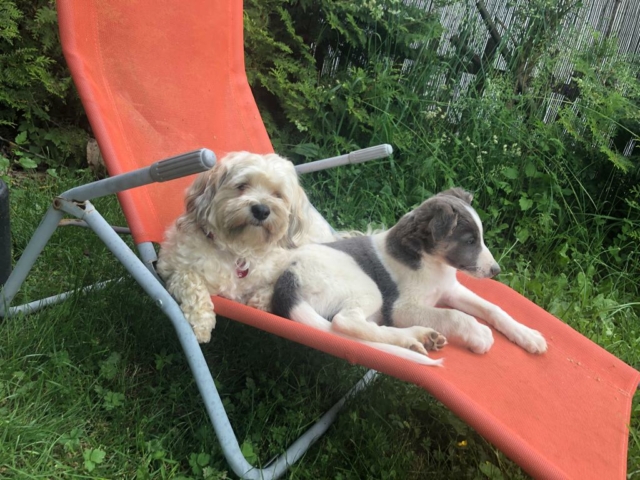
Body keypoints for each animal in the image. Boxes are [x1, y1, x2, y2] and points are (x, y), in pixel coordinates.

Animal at [157, 151, 338, 343]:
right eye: (242, 185)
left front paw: (259, 301)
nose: (261, 210)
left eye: (277, 194)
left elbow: (277, 286)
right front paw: (202, 324)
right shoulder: (171, 268)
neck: (239, 250)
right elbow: (192, 282)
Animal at [271, 188, 547, 365]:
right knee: (344, 322)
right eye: (470, 240)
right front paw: (479, 334)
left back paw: (419, 338)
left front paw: (528, 335)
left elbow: (493, 308)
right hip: (367, 289)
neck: (432, 264)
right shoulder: (400, 308)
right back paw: (414, 337)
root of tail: (287, 278)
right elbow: (453, 315)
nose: (496, 271)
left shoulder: (451, 290)